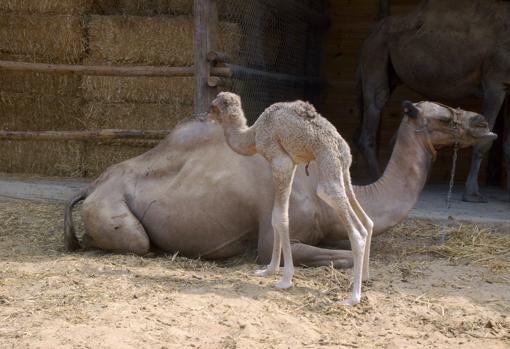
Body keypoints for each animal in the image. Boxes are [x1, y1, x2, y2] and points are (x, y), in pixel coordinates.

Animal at [208, 92, 374, 304]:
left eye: (212, 106)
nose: (205, 115)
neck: (253, 134)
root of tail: (340, 145)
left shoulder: (280, 160)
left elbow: (280, 218)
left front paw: (285, 279)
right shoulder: (292, 164)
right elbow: (277, 217)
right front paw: (268, 270)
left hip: (327, 166)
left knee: (355, 228)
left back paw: (352, 298)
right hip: (342, 170)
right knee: (367, 220)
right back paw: (364, 278)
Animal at [356, 0, 510, 201]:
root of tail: (371, 32)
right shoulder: (496, 82)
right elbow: (484, 140)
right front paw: (471, 194)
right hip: (376, 48)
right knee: (377, 99)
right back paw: (379, 179)